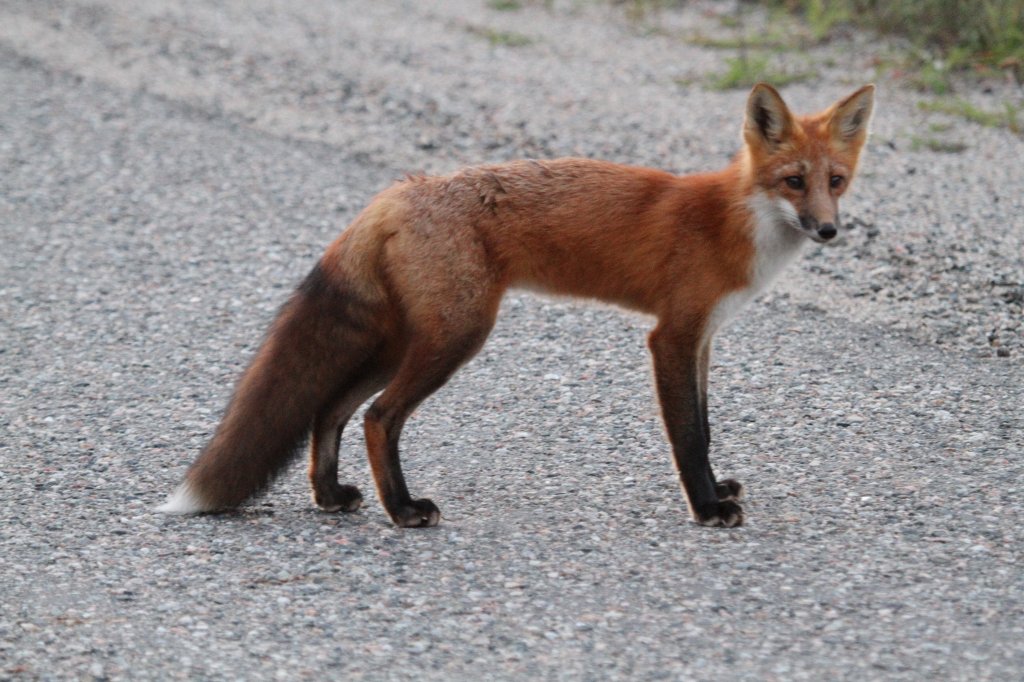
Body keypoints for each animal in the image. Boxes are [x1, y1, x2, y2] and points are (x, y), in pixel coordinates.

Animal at [157, 83, 872, 524]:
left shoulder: (702, 338)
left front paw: (717, 489)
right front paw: (706, 508)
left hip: (402, 340)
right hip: (455, 337)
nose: (828, 230)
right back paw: (404, 511)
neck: (735, 223)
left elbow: (705, 424)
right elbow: (689, 437)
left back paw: (332, 495)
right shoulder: (671, 335)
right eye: (793, 181)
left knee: (330, 410)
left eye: (836, 181)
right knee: (378, 418)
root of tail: (404, 190)